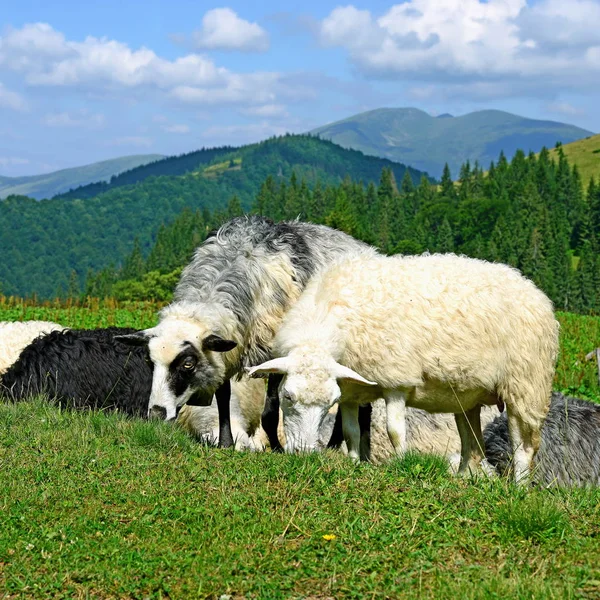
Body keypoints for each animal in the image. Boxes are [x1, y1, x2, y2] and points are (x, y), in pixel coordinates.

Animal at [117, 216, 376, 450]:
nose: (156, 414)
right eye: (149, 362)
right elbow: (223, 397)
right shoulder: (227, 351)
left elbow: (270, 410)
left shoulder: (276, 353)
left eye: (188, 364)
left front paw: (276, 448)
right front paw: (226, 443)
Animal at [247, 252, 556, 482]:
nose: (304, 453)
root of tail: (533, 289)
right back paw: (462, 479)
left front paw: (402, 463)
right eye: (288, 396)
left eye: (328, 403)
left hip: (525, 384)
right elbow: (351, 431)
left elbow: (395, 430)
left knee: (523, 446)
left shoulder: (396, 380)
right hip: (470, 396)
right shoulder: (350, 391)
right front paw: (354, 463)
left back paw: (518, 487)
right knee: (472, 442)